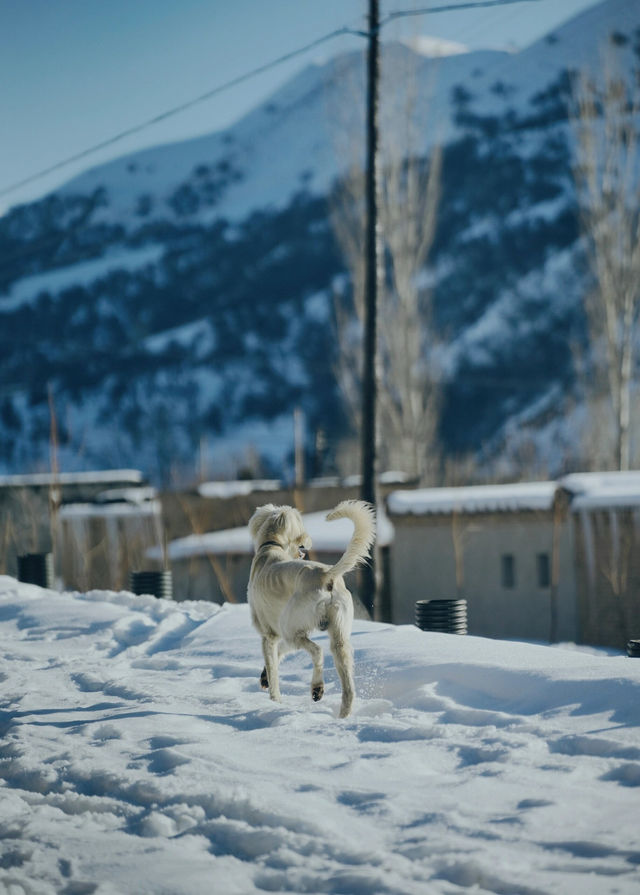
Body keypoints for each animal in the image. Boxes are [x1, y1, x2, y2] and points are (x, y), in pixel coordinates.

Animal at [245, 500, 376, 716]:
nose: (305, 545)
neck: (271, 546)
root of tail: (327, 575)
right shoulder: (283, 634)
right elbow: (279, 654)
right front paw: (264, 677)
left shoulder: (269, 635)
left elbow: (273, 669)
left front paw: (274, 699)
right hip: (339, 639)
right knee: (348, 688)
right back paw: (343, 715)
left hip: (292, 627)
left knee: (317, 651)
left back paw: (317, 688)